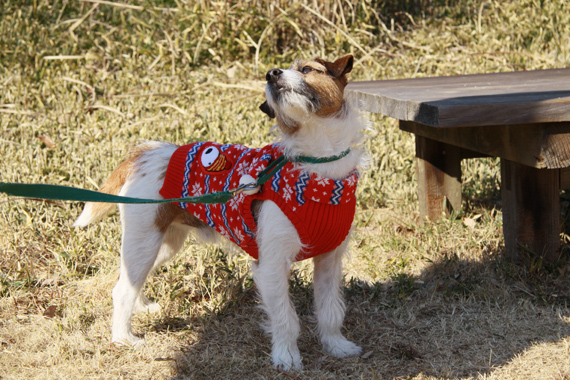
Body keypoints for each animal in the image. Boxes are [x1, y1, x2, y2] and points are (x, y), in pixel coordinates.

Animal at [74, 55, 364, 370]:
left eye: (308, 69)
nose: (271, 74)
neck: (317, 170)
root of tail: (146, 153)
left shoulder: (329, 261)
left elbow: (330, 310)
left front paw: (335, 345)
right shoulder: (271, 266)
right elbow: (285, 318)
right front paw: (286, 357)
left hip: (163, 244)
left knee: (130, 279)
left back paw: (141, 308)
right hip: (144, 241)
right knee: (122, 290)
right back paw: (123, 339)